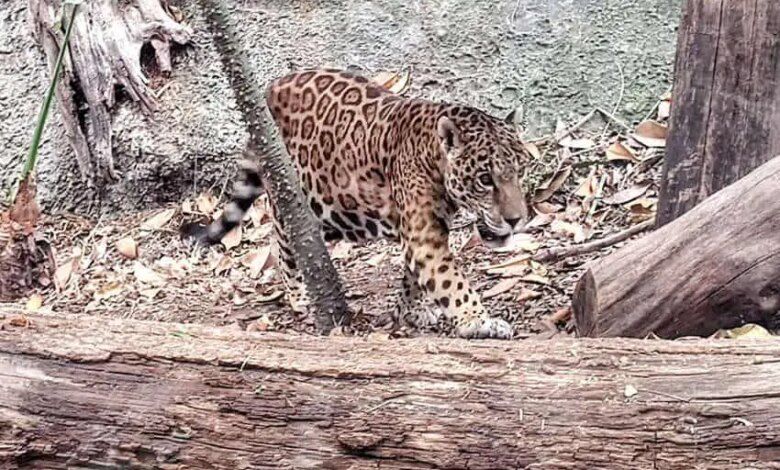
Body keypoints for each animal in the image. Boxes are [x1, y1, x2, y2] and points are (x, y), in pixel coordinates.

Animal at [187, 68, 533, 339]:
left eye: (521, 170)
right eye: (485, 179)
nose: (517, 219)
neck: (433, 156)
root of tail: (271, 88)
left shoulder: (423, 231)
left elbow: (414, 277)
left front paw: (410, 311)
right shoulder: (424, 236)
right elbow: (451, 281)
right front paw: (479, 321)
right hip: (288, 194)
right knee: (283, 244)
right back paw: (300, 296)